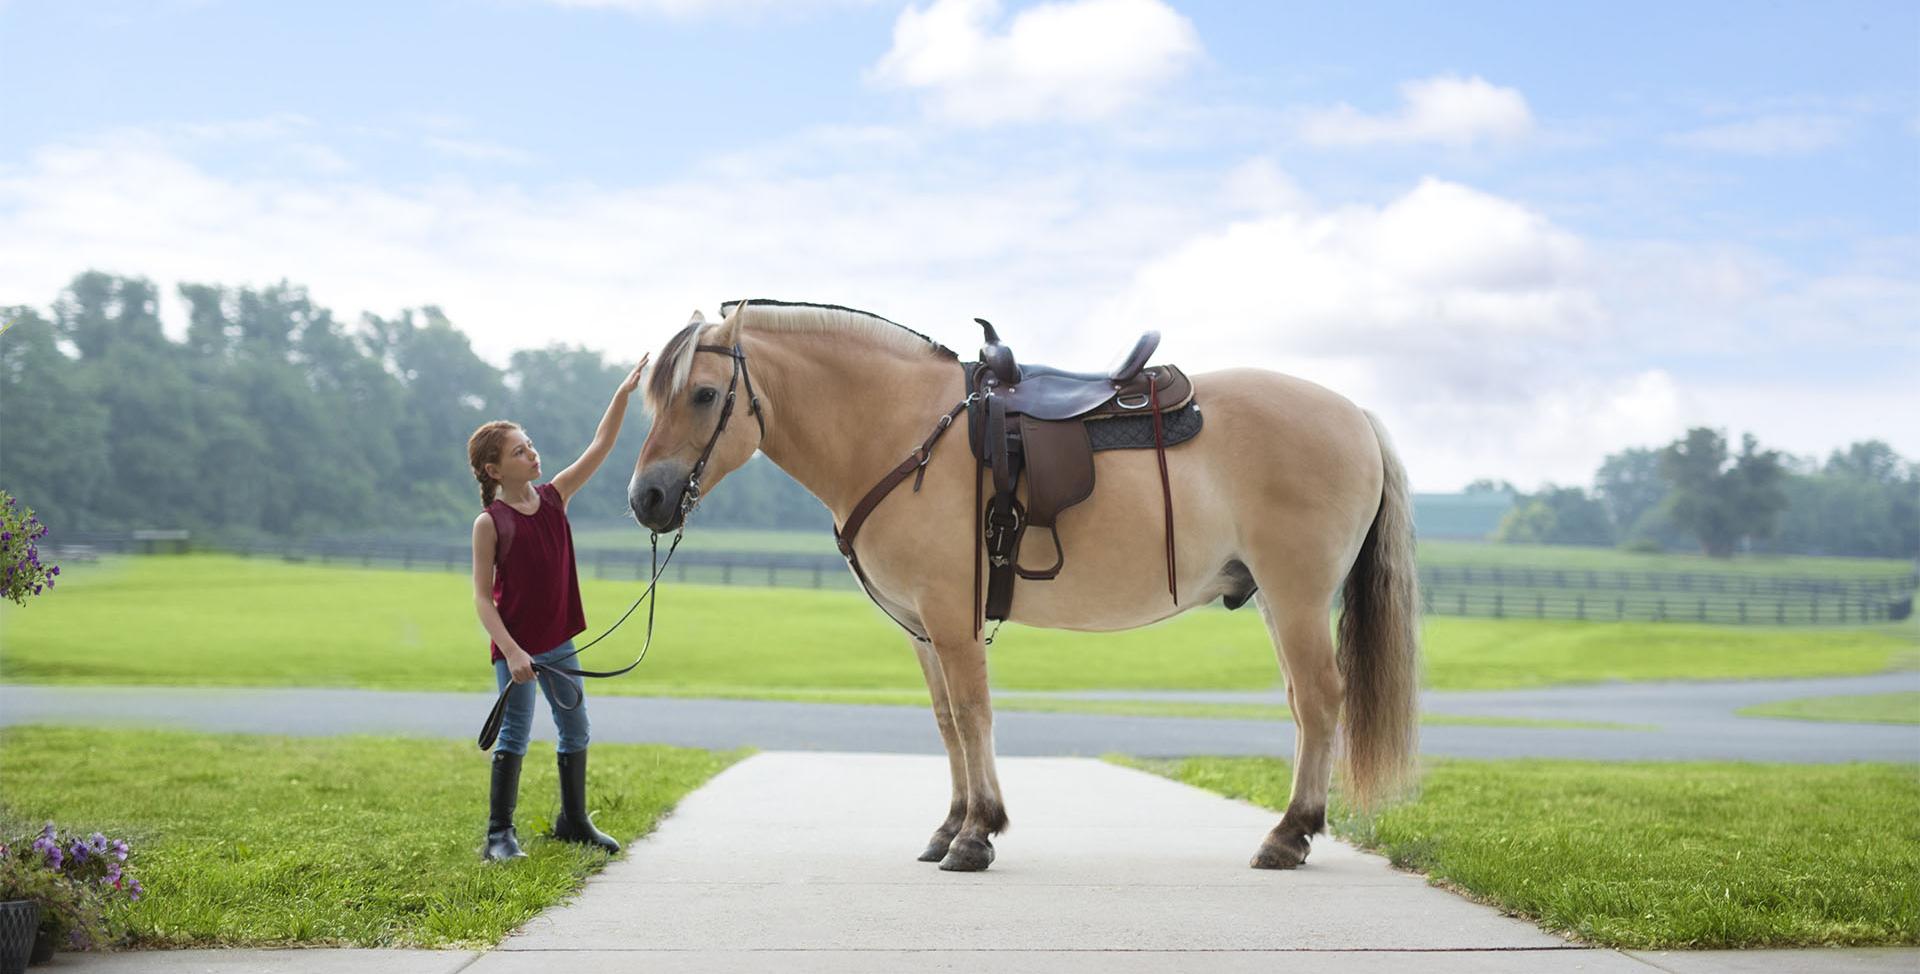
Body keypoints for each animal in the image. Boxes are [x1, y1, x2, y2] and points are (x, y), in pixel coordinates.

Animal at [628, 299, 1420, 872]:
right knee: (1302, 704)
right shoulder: (924, 629)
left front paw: (977, 834)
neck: (901, 429)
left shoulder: (952, 617)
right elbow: (947, 722)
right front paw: (950, 827)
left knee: (1319, 700)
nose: (648, 499)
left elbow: (974, 714)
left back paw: (1289, 835)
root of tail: (1353, 415)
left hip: (1296, 598)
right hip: (1279, 603)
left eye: (704, 395)